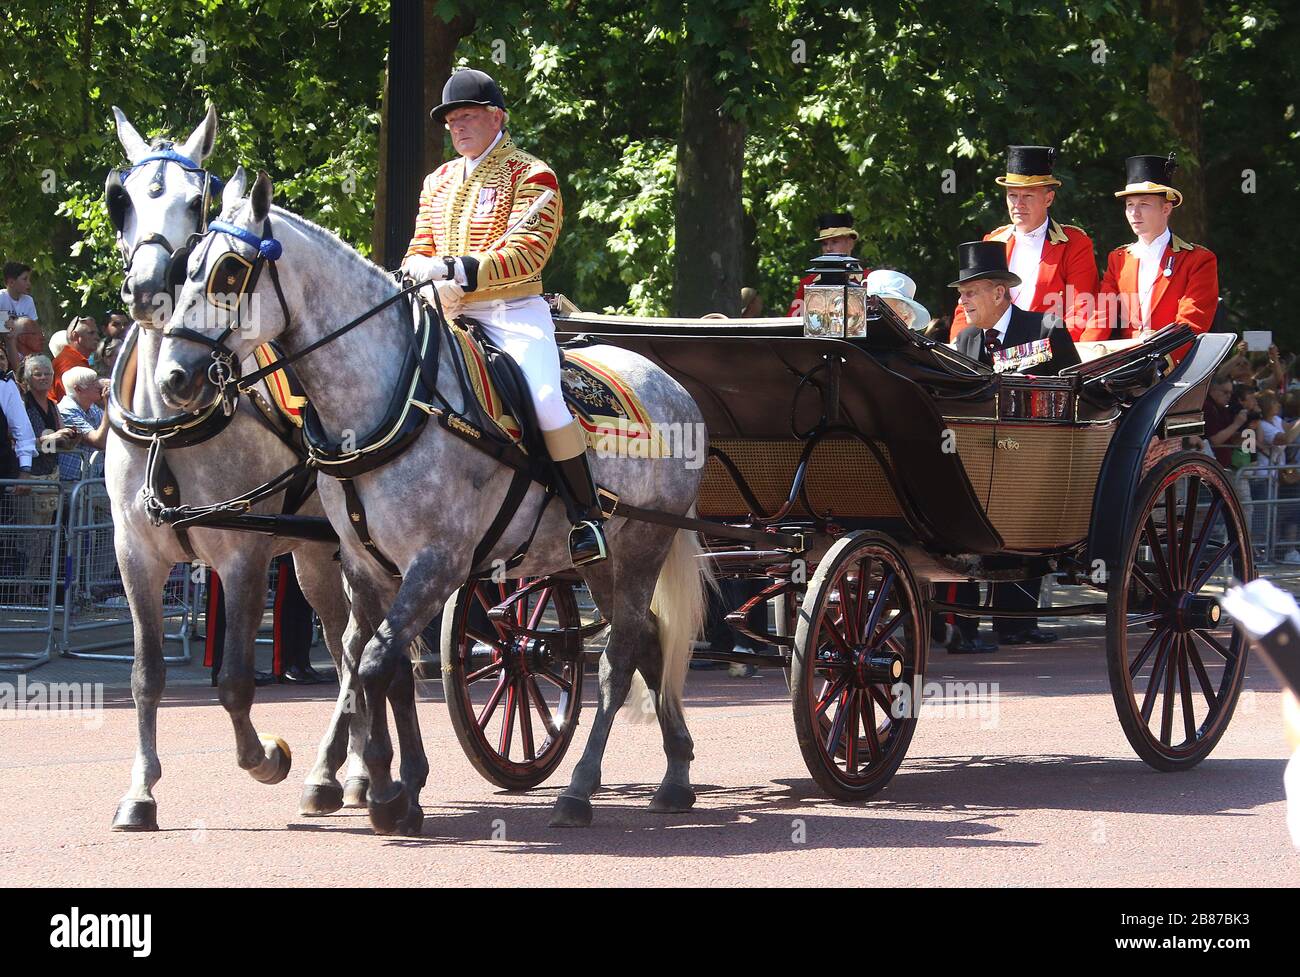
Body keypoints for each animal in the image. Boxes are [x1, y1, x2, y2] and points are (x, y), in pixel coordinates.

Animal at [104, 106, 371, 826]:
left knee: (360, 645)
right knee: (345, 646)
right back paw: (338, 771)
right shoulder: (135, 554)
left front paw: (266, 757)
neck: (169, 422)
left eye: (196, 202)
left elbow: (232, 682)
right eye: (122, 200)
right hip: (313, 559)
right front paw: (139, 793)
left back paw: (350, 771)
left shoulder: (243, 558)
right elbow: (146, 677)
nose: (147, 287)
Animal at [157, 166, 717, 831]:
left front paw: (383, 793)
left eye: (229, 271)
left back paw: (580, 789)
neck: (389, 403)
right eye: (187, 266)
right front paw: (393, 786)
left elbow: (376, 663)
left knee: (619, 658)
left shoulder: (439, 563)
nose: (173, 378)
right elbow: (374, 663)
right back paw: (677, 773)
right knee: (651, 644)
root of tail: (669, 383)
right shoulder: (367, 566)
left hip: (643, 546)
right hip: (601, 563)